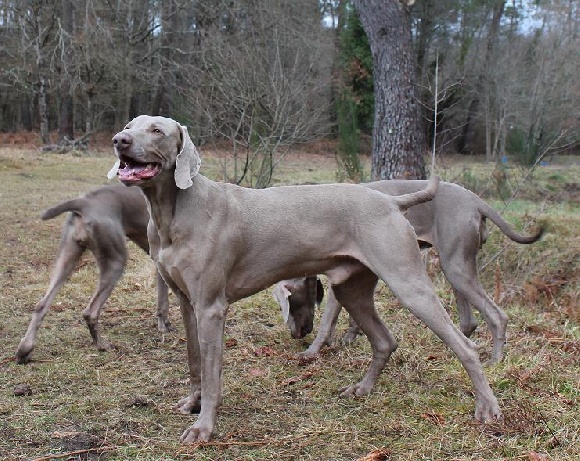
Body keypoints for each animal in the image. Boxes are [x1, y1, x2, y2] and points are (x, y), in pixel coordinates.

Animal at [15, 184, 170, 362]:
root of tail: (84, 202)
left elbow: (163, 299)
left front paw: (163, 324)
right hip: (115, 260)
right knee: (90, 312)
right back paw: (101, 345)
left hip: (67, 256)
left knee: (41, 304)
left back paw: (24, 350)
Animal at [106, 114, 500, 442]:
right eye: (129, 125)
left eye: (156, 130)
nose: (119, 140)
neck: (172, 213)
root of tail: (392, 203)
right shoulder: (187, 303)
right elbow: (193, 361)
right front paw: (192, 404)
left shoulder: (211, 308)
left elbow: (212, 372)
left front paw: (204, 427)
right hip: (351, 289)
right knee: (385, 341)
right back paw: (361, 390)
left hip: (408, 283)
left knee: (466, 346)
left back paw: (487, 408)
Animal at [276, 180, 544, 362]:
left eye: (290, 303)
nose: (297, 335)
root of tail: (475, 200)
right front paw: (349, 337)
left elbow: (328, 320)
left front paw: (312, 351)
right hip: (455, 266)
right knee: (469, 321)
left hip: (455, 266)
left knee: (497, 316)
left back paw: (494, 361)